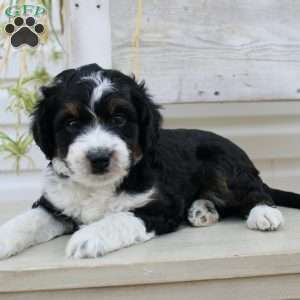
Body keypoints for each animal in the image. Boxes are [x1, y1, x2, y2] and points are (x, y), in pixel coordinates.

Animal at [0, 63, 300, 260]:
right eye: (71, 123)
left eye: (119, 119)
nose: (99, 158)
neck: (99, 186)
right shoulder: (56, 203)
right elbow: (27, 220)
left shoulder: (161, 206)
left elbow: (121, 217)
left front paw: (88, 236)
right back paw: (202, 210)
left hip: (225, 164)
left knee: (255, 192)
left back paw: (263, 214)